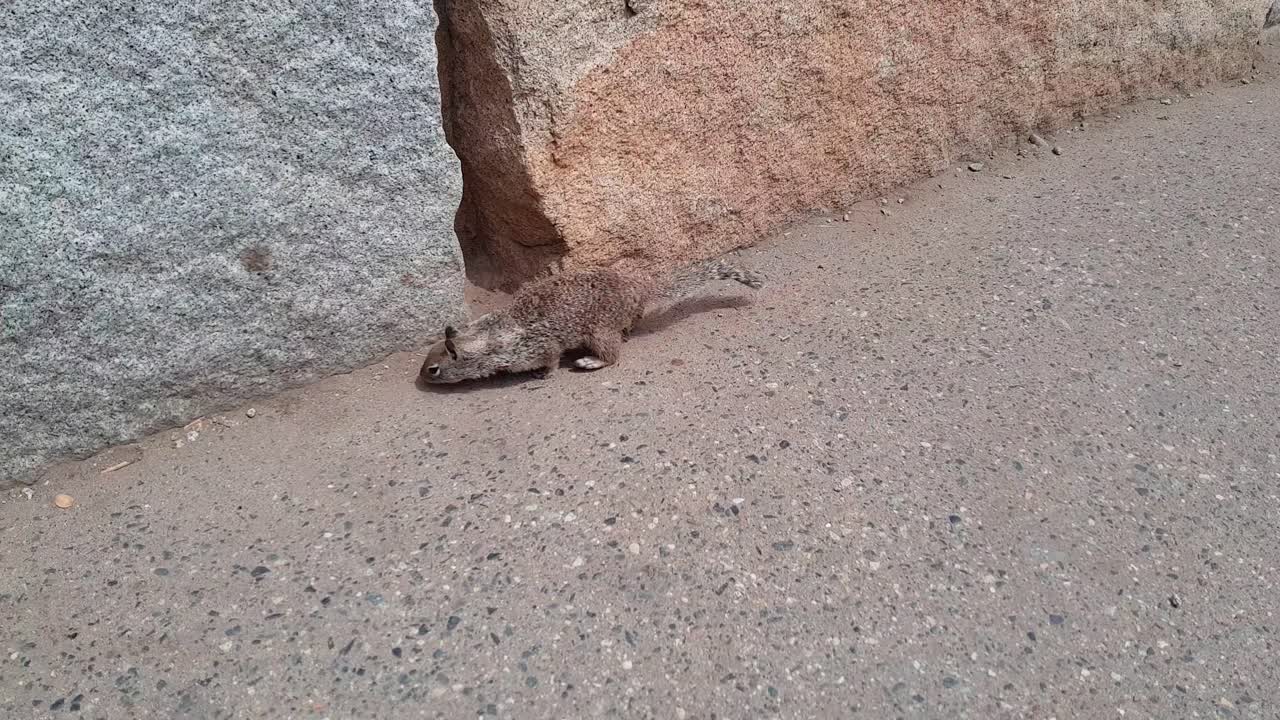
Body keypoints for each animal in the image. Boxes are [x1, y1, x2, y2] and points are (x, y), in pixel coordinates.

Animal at [419, 258, 763, 383]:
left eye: (433, 369)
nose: (422, 378)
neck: (484, 336)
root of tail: (638, 284)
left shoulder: (537, 347)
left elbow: (551, 359)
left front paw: (544, 374)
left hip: (599, 332)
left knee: (612, 355)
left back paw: (591, 361)